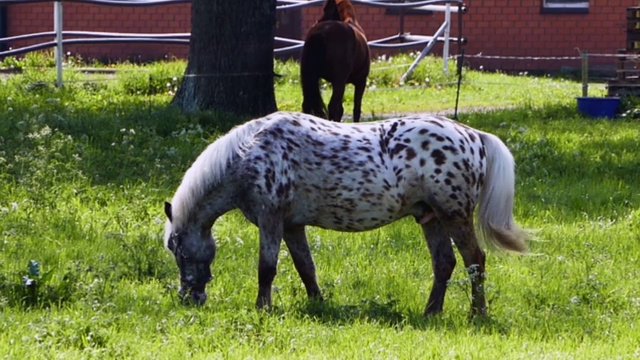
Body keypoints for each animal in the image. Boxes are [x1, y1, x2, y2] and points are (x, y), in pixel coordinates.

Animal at [162, 110, 528, 316]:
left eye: (180, 251)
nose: (189, 297)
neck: (250, 151)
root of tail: (474, 136)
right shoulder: (292, 226)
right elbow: (305, 267)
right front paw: (317, 303)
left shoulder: (271, 220)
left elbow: (266, 269)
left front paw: (262, 309)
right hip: (431, 218)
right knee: (445, 264)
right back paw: (431, 313)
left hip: (453, 215)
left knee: (474, 261)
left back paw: (477, 314)